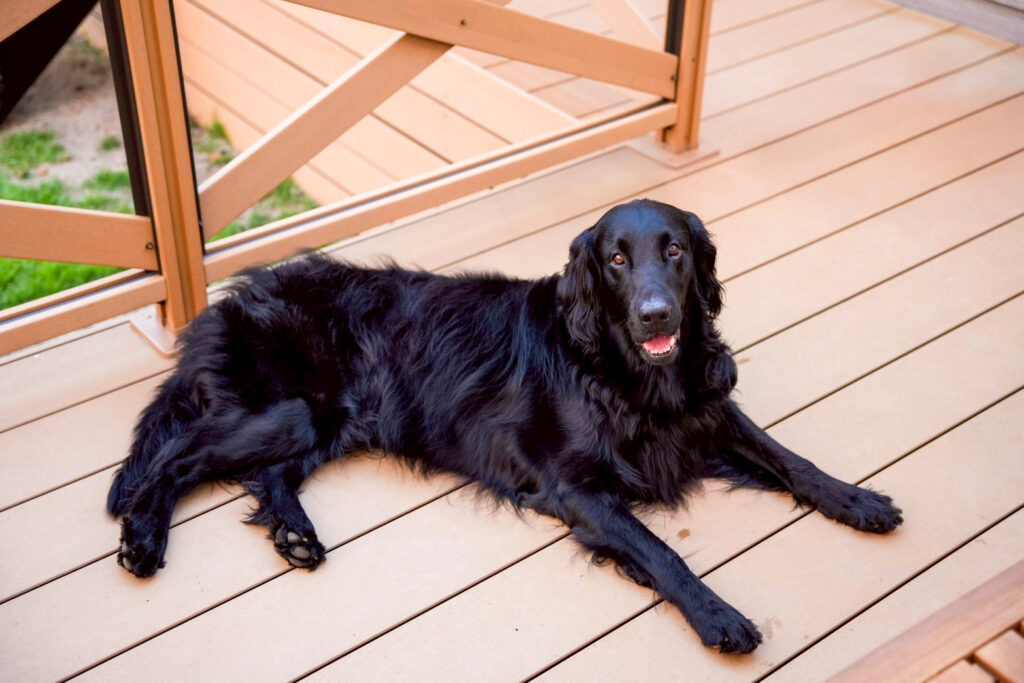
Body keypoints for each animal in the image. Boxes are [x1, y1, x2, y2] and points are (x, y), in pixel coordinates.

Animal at [107, 199, 902, 653]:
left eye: (675, 250)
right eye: (617, 258)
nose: (657, 315)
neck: (626, 374)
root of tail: (228, 299)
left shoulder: (706, 411)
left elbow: (789, 457)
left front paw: (857, 498)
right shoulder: (577, 489)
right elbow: (663, 553)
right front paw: (719, 616)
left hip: (321, 421)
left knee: (264, 472)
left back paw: (295, 535)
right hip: (289, 409)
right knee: (173, 460)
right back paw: (143, 541)